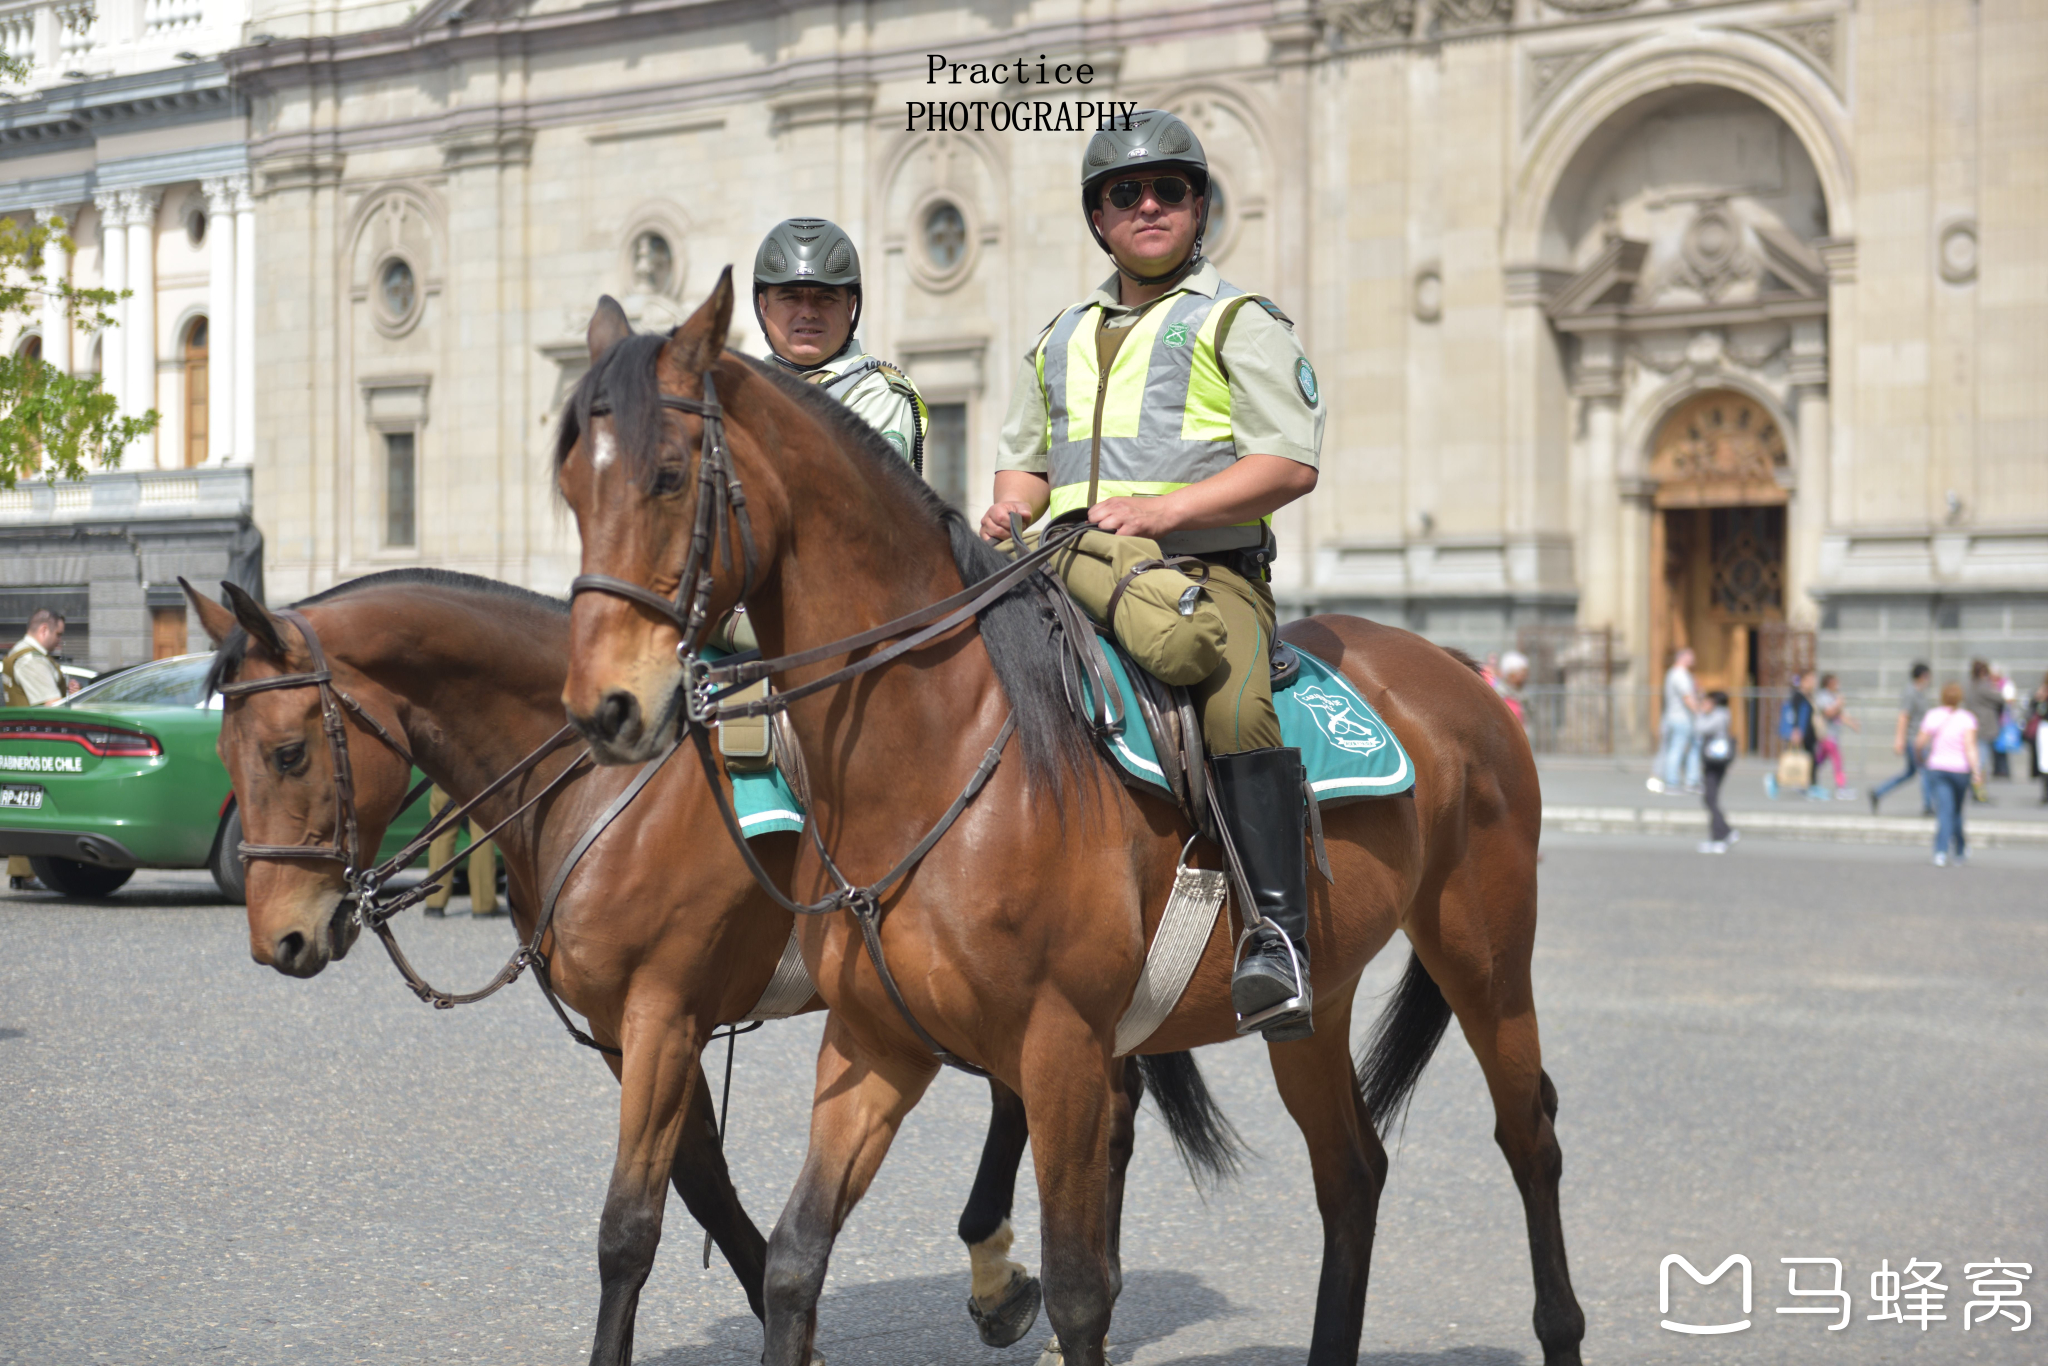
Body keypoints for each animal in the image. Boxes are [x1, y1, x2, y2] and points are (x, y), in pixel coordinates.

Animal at [184, 573, 1228, 1366]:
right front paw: (786, 1322)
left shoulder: (664, 1013)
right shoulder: (631, 1033)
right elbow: (704, 1188)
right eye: (225, 752)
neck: (608, 784)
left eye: (287, 750)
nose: (278, 940)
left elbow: (631, 1226)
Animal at [557, 280, 1581, 1366]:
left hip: (1483, 955)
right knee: (1352, 1170)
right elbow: (794, 1260)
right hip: (1321, 996)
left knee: (1529, 1135)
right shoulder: (873, 1042)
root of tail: (1453, 672)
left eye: (669, 476)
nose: (605, 708)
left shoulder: (1061, 1053)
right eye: (571, 487)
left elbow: (1083, 1289)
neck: (938, 750)